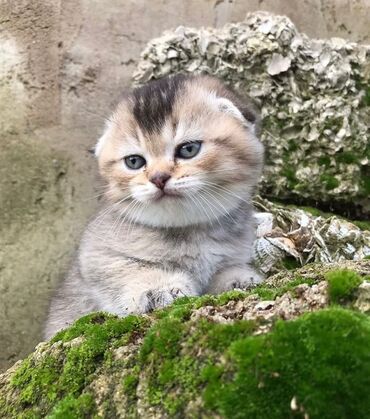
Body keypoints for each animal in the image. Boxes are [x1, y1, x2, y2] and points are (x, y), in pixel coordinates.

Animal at [44, 74, 264, 340]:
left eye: (188, 149)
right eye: (134, 161)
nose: (159, 178)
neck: (188, 230)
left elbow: (227, 267)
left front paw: (239, 278)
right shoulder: (96, 257)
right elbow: (129, 268)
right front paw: (158, 288)